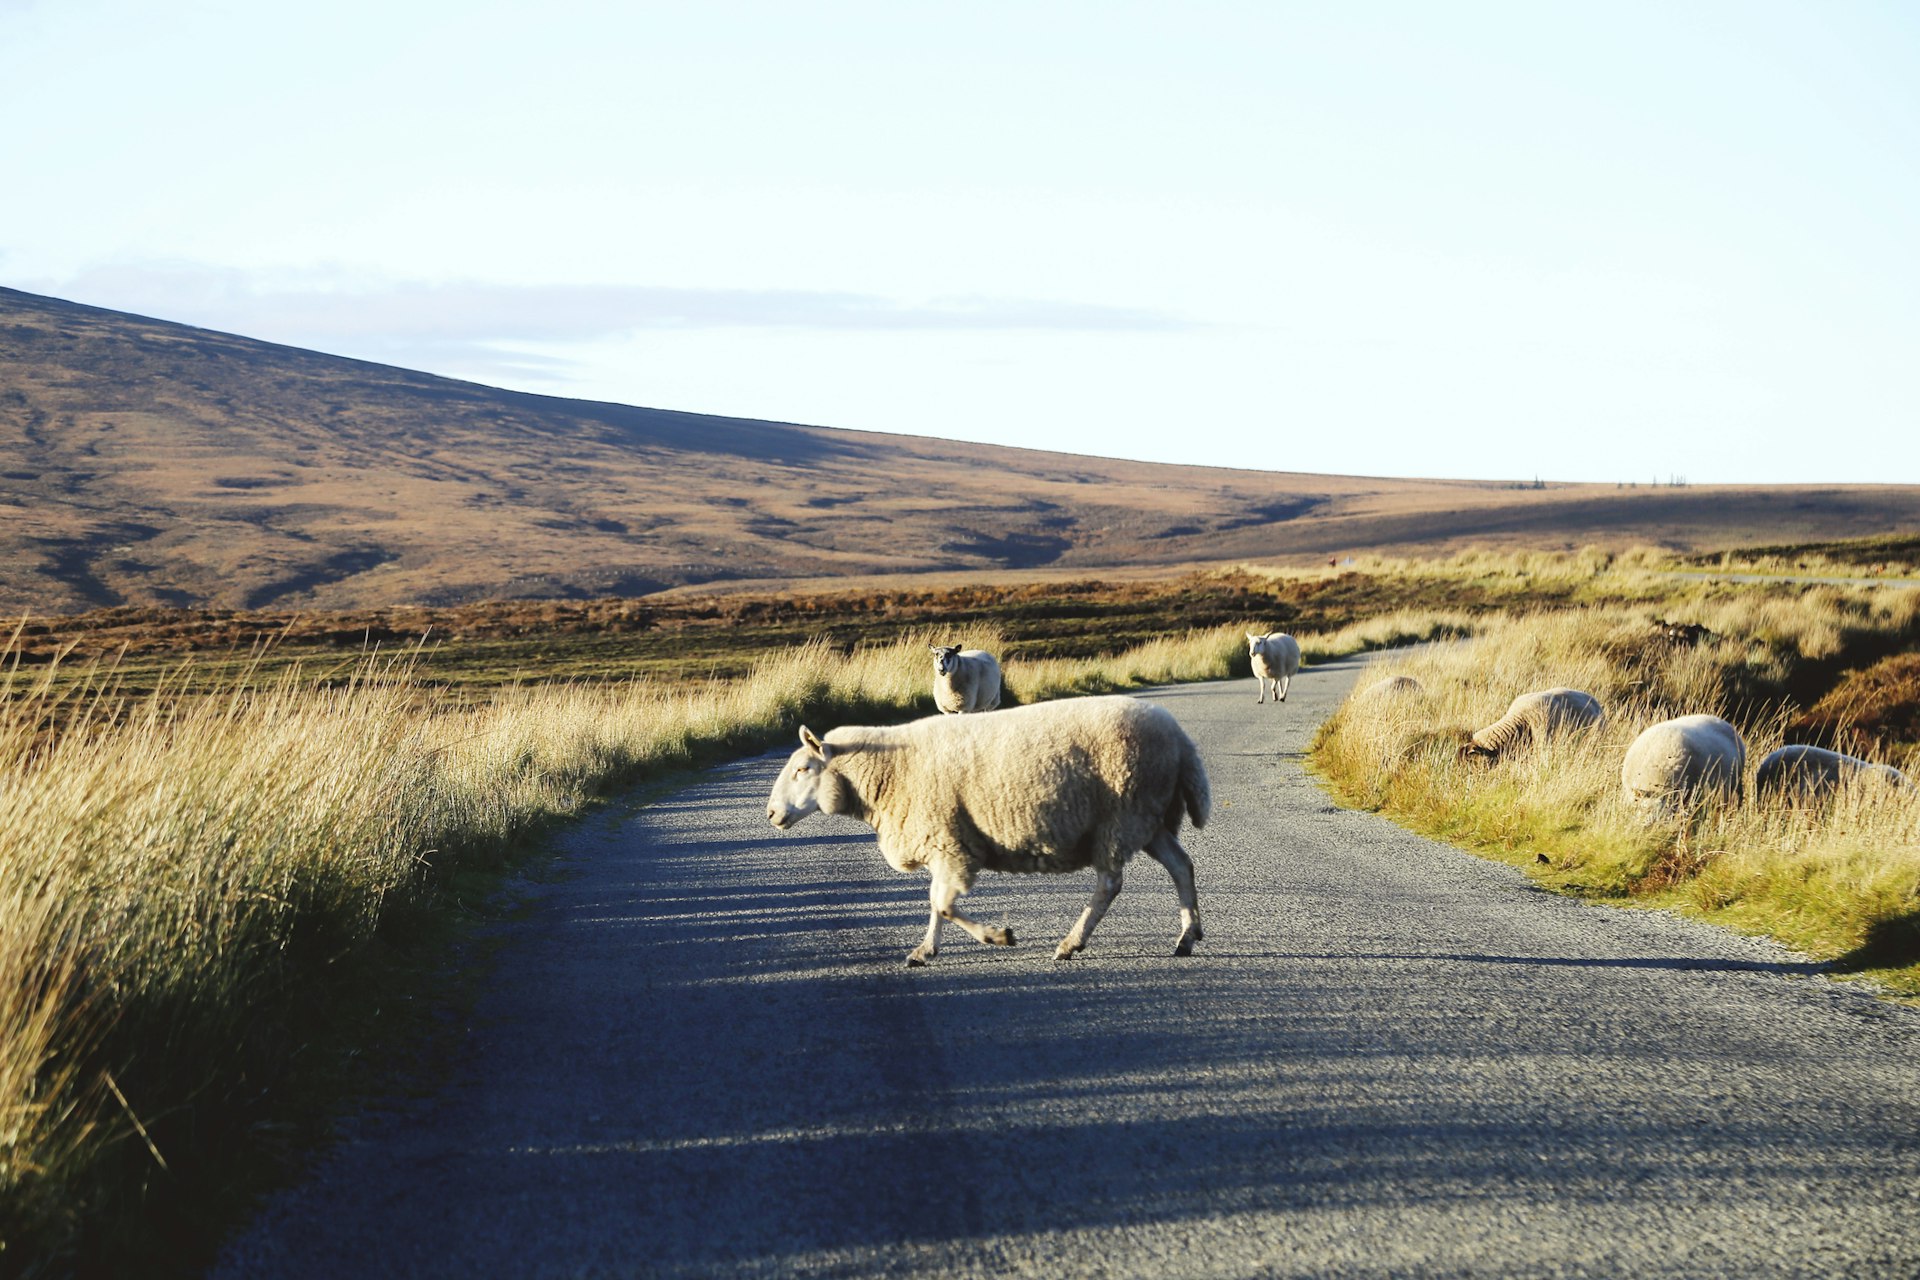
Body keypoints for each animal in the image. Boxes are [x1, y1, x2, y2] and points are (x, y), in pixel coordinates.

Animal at [760, 694, 1198, 967]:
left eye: (803, 769)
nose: (771, 813)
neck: (886, 775)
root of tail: (1179, 737)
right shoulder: (942, 841)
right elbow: (935, 902)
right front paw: (924, 950)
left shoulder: (948, 842)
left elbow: (944, 904)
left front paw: (998, 936)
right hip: (1149, 817)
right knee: (1181, 866)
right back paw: (1187, 936)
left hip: (1120, 814)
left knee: (1109, 883)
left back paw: (1070, 944)